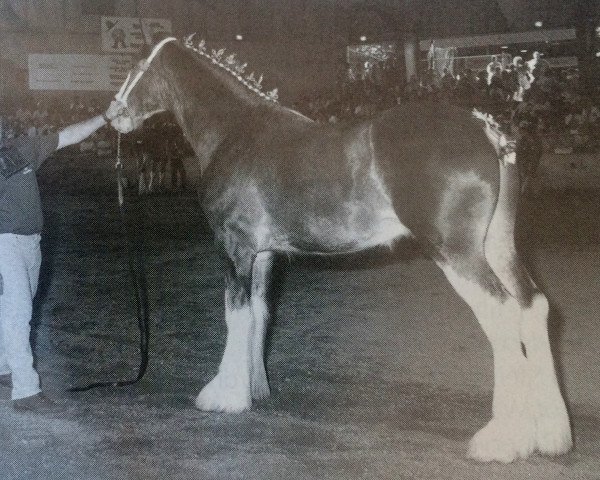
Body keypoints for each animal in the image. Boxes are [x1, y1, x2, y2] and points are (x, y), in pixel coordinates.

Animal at [109, 35, 572, 464]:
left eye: (134, 66)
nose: (114, 114)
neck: (236, 131)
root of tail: (486, 130)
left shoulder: (235, 248)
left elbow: (235, 315)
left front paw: (225, 394)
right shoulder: (264, 255)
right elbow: (260, 313)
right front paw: (255, 387)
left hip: (458, 253)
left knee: (502, 312)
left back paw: (502, 439)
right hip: (498, 245)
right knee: (533, 305)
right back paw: (551, 432)